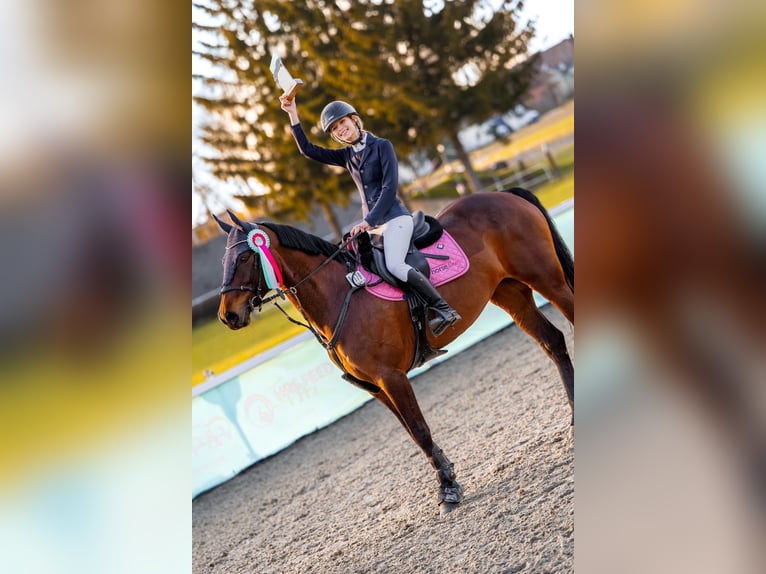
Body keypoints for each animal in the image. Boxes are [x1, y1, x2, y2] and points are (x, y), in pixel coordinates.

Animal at [214, 187, 574, 514]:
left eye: (244, 257)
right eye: (225, 260)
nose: (227, 316)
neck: (340, 293)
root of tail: (503, 194)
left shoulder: (391, 377)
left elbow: (420, 429)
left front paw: (449, 489)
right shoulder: (376, 387)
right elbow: (413, 434)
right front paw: (448, 477)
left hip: (548, 280)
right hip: (510, 293)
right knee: (553, 341)